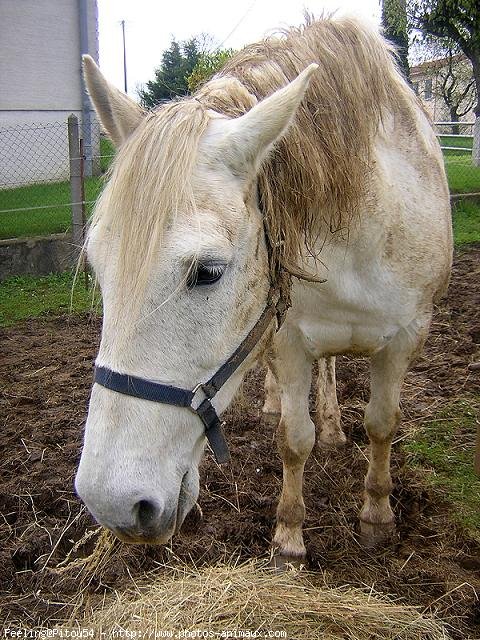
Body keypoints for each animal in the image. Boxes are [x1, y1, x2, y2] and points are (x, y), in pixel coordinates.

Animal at [77, 16, 452, 564]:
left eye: (208, 271)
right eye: (99, 269)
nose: (114, 504)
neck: (365, 229)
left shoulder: (406, 337)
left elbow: (383, 423)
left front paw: (377, 515)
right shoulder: (287, 340)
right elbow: (294, 440)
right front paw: (289, 536)